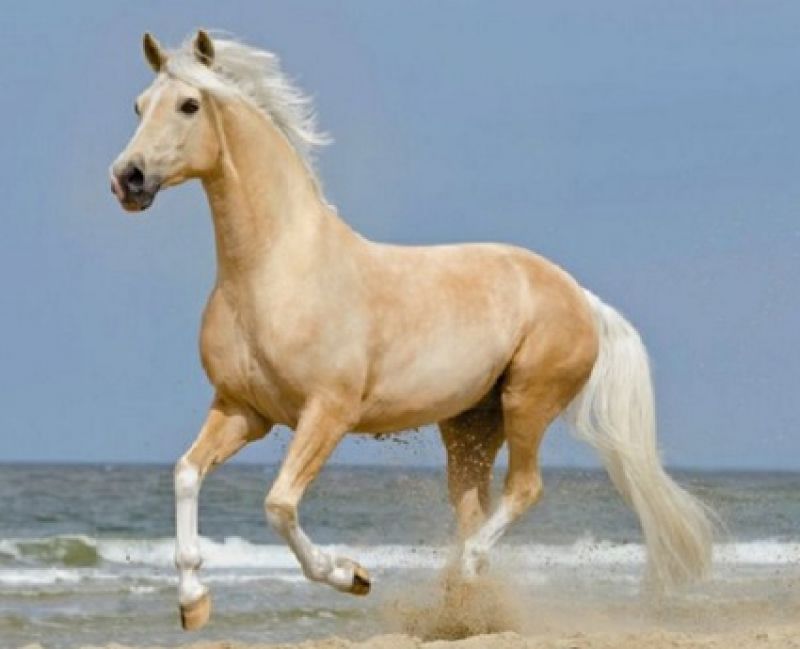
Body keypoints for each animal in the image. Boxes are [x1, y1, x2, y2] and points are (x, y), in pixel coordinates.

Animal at [109, 30, 713, 631]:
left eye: (189, 105)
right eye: (139, 105)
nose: (127, 179)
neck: (274, 270)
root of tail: (580, 296)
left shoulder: (327, 412)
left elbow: (279, 506)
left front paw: (352, 575)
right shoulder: (243, 410)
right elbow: (186, 473)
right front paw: (193, 601)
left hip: (527, 402)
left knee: (522, 490)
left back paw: (466, 576)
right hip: (470, 426)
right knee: (473, 507)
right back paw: (463, 607)